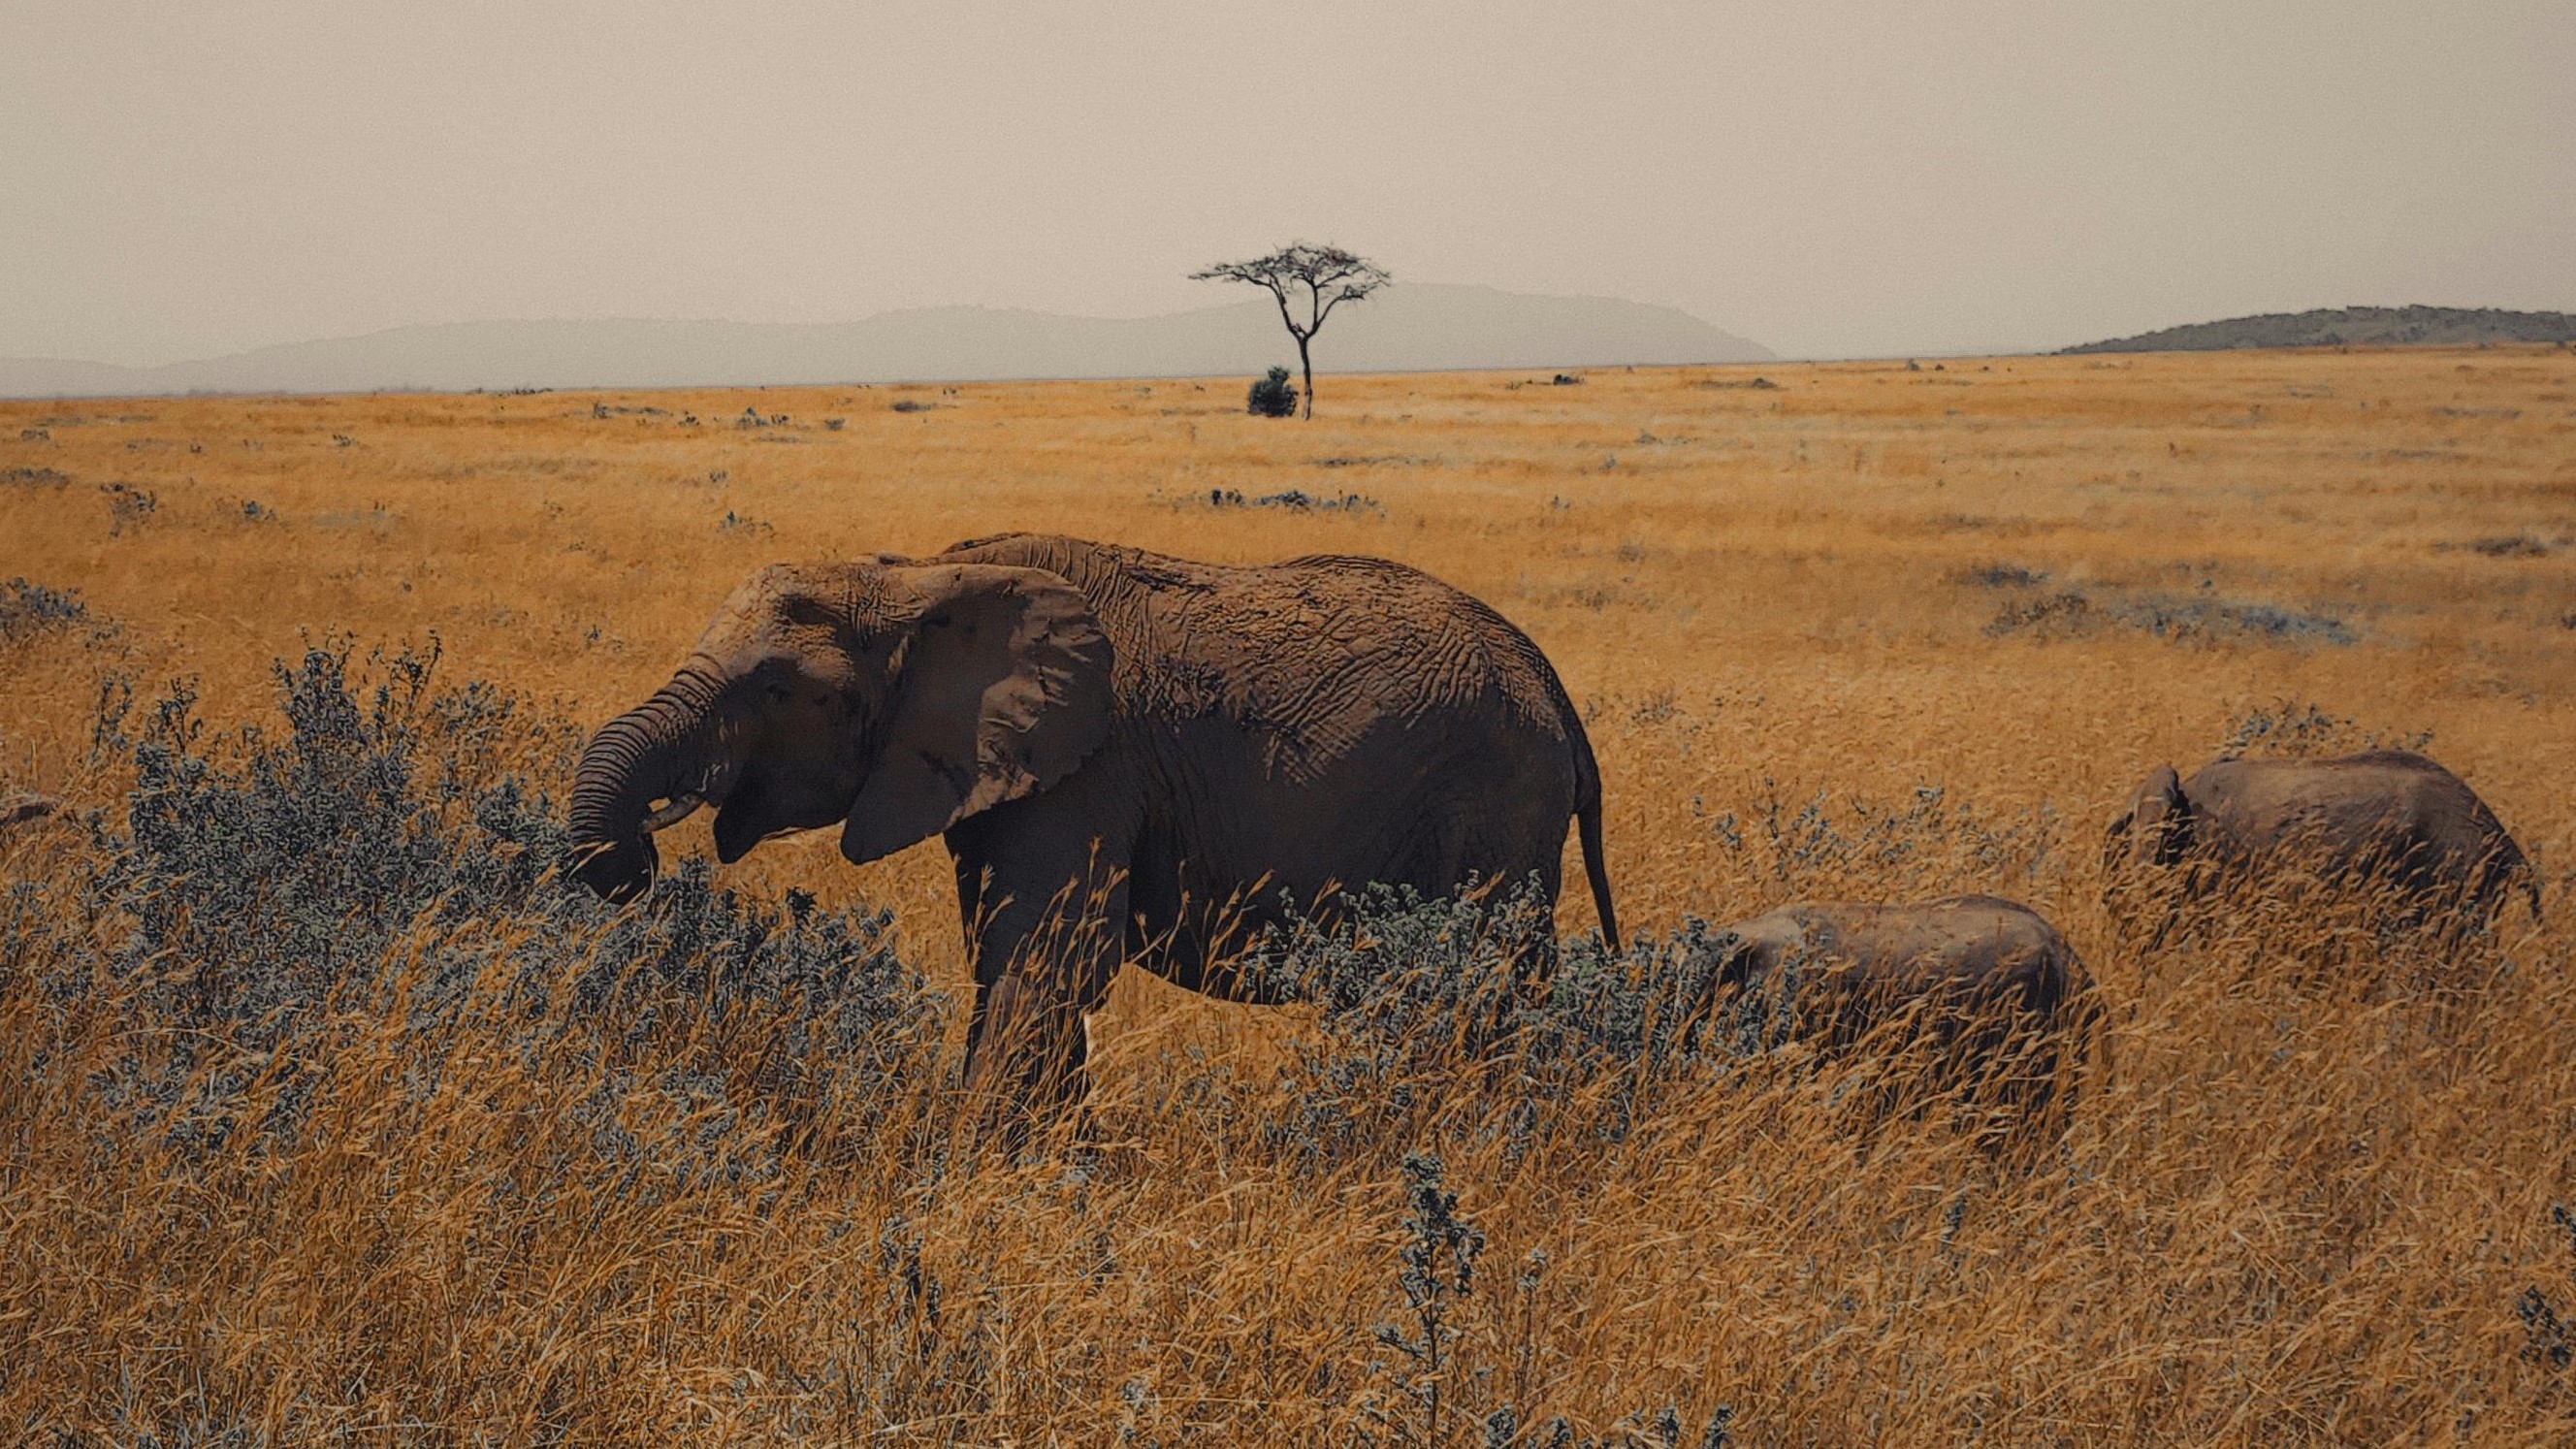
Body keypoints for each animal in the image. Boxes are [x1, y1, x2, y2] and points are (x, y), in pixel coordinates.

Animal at [567, 533, 1619, 1118]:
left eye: (783, 691)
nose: (639, 858)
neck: (924, 577)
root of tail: (1553, 689)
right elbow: (1012, 968)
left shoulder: (1088, 767)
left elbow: (1044, 968)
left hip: (1492, 805)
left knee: (1472, 992)